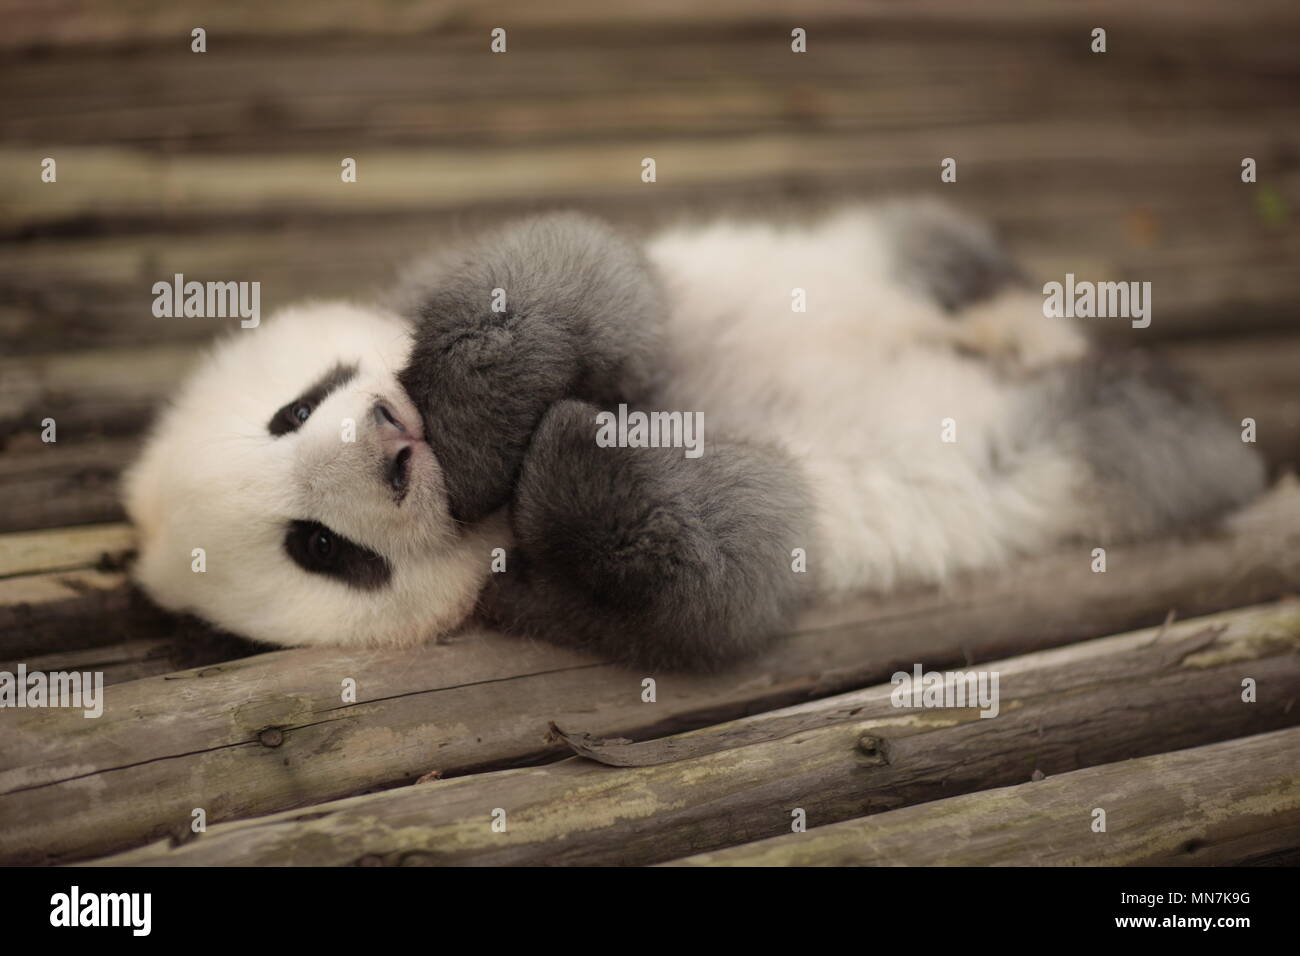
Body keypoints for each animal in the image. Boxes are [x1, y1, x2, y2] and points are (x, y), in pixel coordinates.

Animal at [123, 201, 1265, 670]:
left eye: (290, 410)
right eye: (322, 547)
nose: (390, 447)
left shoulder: (465, 288)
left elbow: (573, 278)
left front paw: (488, 416)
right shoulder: (535, 606)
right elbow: (726, 560)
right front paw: (572, 445)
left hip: (868, 253)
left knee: (943, 247)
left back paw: (1013, 312)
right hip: (1059, 448)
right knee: (1144, 427)